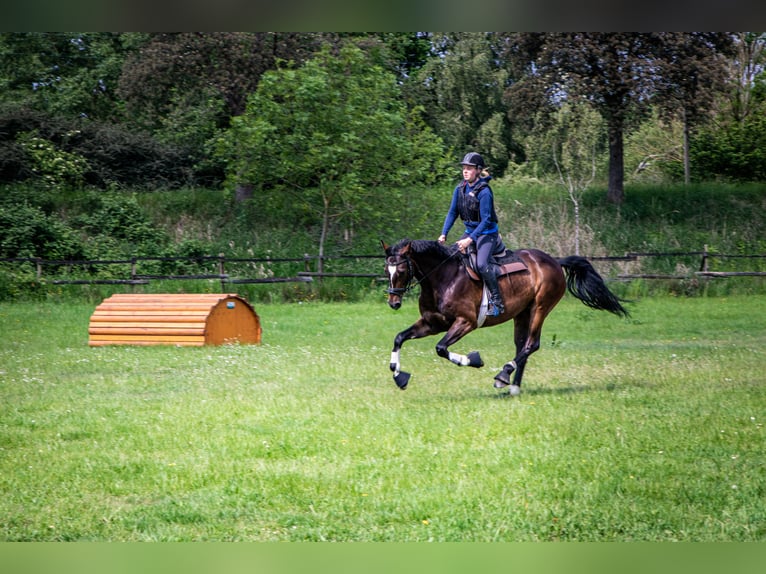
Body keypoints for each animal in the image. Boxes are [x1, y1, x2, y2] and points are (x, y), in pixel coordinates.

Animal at [384, 238, 632, 396]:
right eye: (387, 271)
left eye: (402, 271)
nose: (393, 303)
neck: (444, 278)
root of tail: (554, 261)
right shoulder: (432, 323)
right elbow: (399, 338)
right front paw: (399, 375)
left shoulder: (465, 322)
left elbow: (441, 348)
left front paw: (474, 359)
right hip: (522, 313)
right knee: (522, 346)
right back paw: (513, 387)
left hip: (540, 308)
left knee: (532, 344)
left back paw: (503, 375)